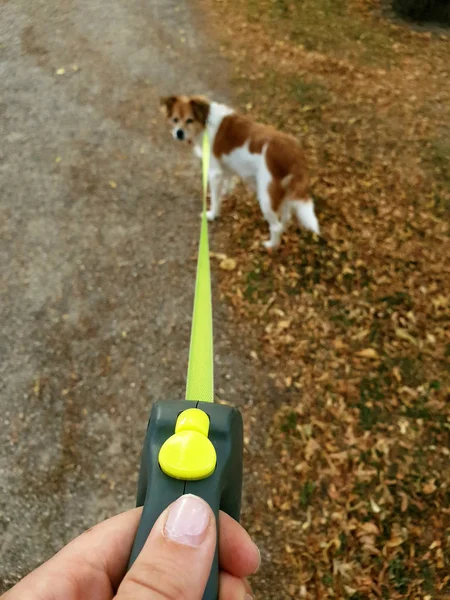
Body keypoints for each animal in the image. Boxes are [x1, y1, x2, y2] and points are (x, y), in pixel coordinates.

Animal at [159, 94, 320, 248]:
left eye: (189, 120)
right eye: (175, 119)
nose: (179, 133)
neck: (205, 121)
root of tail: (295, 152)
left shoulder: (215, 172)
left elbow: (215, 198)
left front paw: (212, 214)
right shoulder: (226, 167)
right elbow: (226, 184)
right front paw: (224, 193)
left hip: (266, 195)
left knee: (276, 226)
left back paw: (271, 246)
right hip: (284, 192)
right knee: (286, 217)